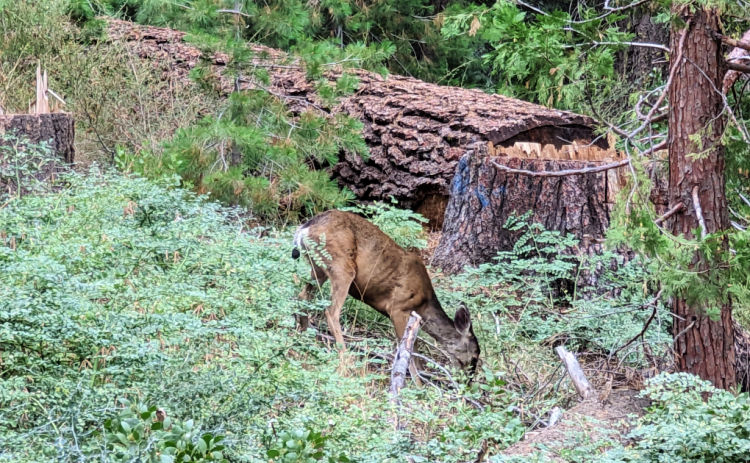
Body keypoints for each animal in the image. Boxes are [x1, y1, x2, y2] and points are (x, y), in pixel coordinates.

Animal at [292, 210, 480, 375]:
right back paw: (346, 359)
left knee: (303, 296)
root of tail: (304, 228)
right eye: (475, 356)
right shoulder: (397, 308)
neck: (424, 303)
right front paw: (416, 384)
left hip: (318, 267)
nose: (468, 380)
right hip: (341, 266)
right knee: (331, 311)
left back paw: (304, 334)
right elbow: (408, 353)